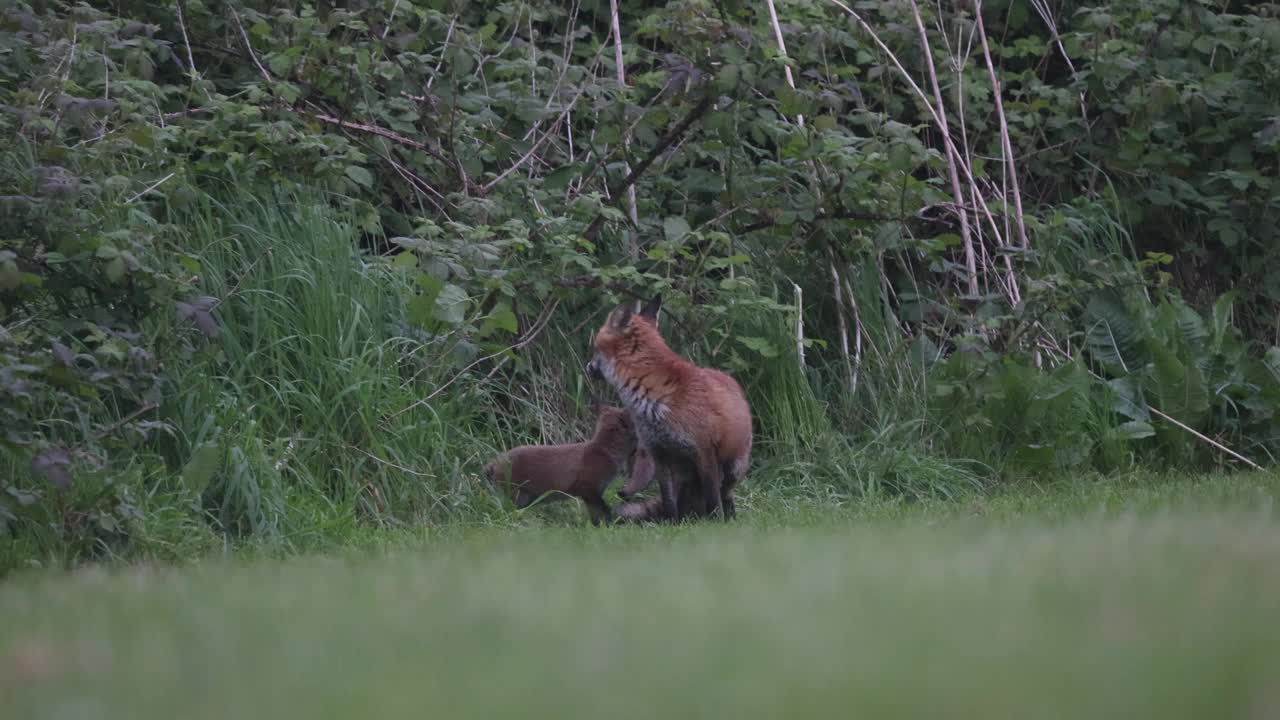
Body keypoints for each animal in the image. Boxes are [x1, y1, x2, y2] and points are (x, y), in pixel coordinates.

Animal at [481, 399, 637, 525]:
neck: (604, 450)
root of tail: (496, 460)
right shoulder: (587, 489)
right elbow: (605, 510)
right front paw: (614, 523)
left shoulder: (592, 494)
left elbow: (596, 516)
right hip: (516, 498)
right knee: (505, 513)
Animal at [586, 294, 752, 517]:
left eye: (595, 348)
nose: (587, 367)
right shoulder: (659, 452)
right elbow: (668, 500)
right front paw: (672, 522)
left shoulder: (704, 452)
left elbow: (713, 499)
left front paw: (717, 521)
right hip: (684, 473)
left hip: (733, 467)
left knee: (725, 495)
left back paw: (729, 518)